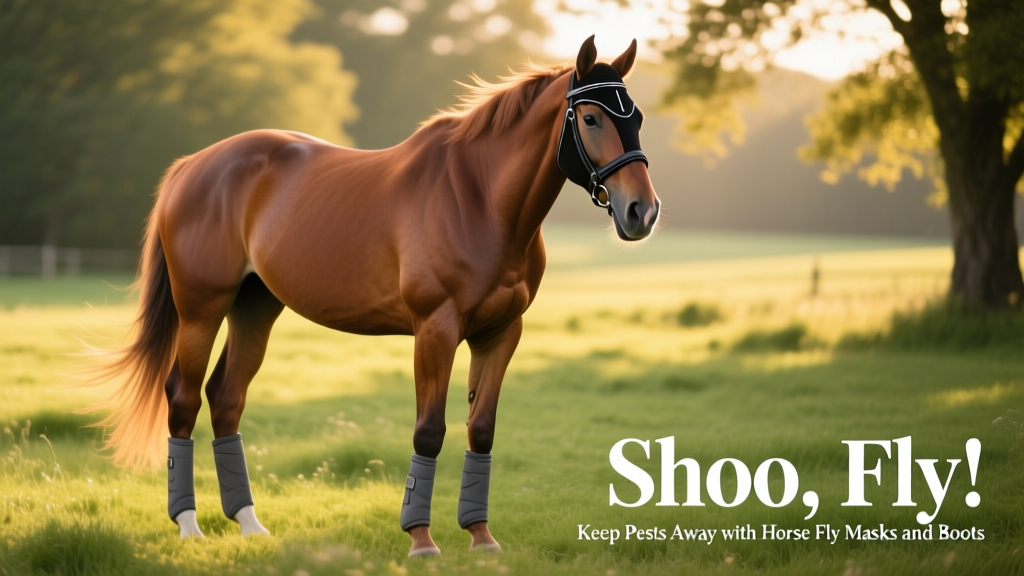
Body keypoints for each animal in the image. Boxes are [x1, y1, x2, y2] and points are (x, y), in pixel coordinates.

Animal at [92, 35, 659, 556]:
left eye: (637, 118)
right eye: (591, 118)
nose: (642, 211)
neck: (479, 200)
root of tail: (192, 165)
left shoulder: (501, 332)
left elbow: (480, 429)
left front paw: (481, 537)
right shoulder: (435, 329)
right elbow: (429, 431)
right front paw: (421, 540)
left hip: (255, 308)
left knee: (226, 398)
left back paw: (250, 524)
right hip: (201, 310)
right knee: (184, 399)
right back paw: (188, 526)